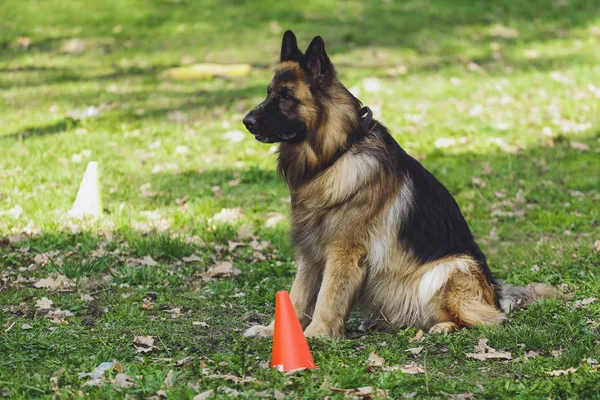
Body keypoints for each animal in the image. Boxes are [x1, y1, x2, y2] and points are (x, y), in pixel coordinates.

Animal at [241, 30, 560, 338]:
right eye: (268, 93)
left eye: (286, 97)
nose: (246, 121)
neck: (336, 153)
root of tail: (497, 293)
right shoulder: (311, 250)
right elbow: (298, 295)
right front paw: (274, 330)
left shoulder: (344, 251)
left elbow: (327, 297)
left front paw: (316, 334)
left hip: (445, 270)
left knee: (488, 320)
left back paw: (444, 327)